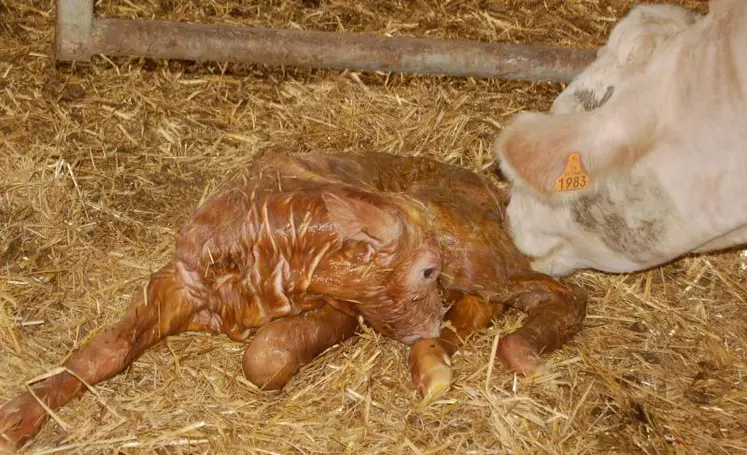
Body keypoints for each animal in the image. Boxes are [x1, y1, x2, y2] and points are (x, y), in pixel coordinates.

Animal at [0, 151, 592, 450]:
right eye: (424, 271)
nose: (427, 319)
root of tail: (494, 189)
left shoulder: (342, 307)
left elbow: (266, 356)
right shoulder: (178, 279)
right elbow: (105, 351)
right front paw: (21, 416)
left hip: (468, 241)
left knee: (559, 291)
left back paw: (516, 352)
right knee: (484, 306)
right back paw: (433, 362)